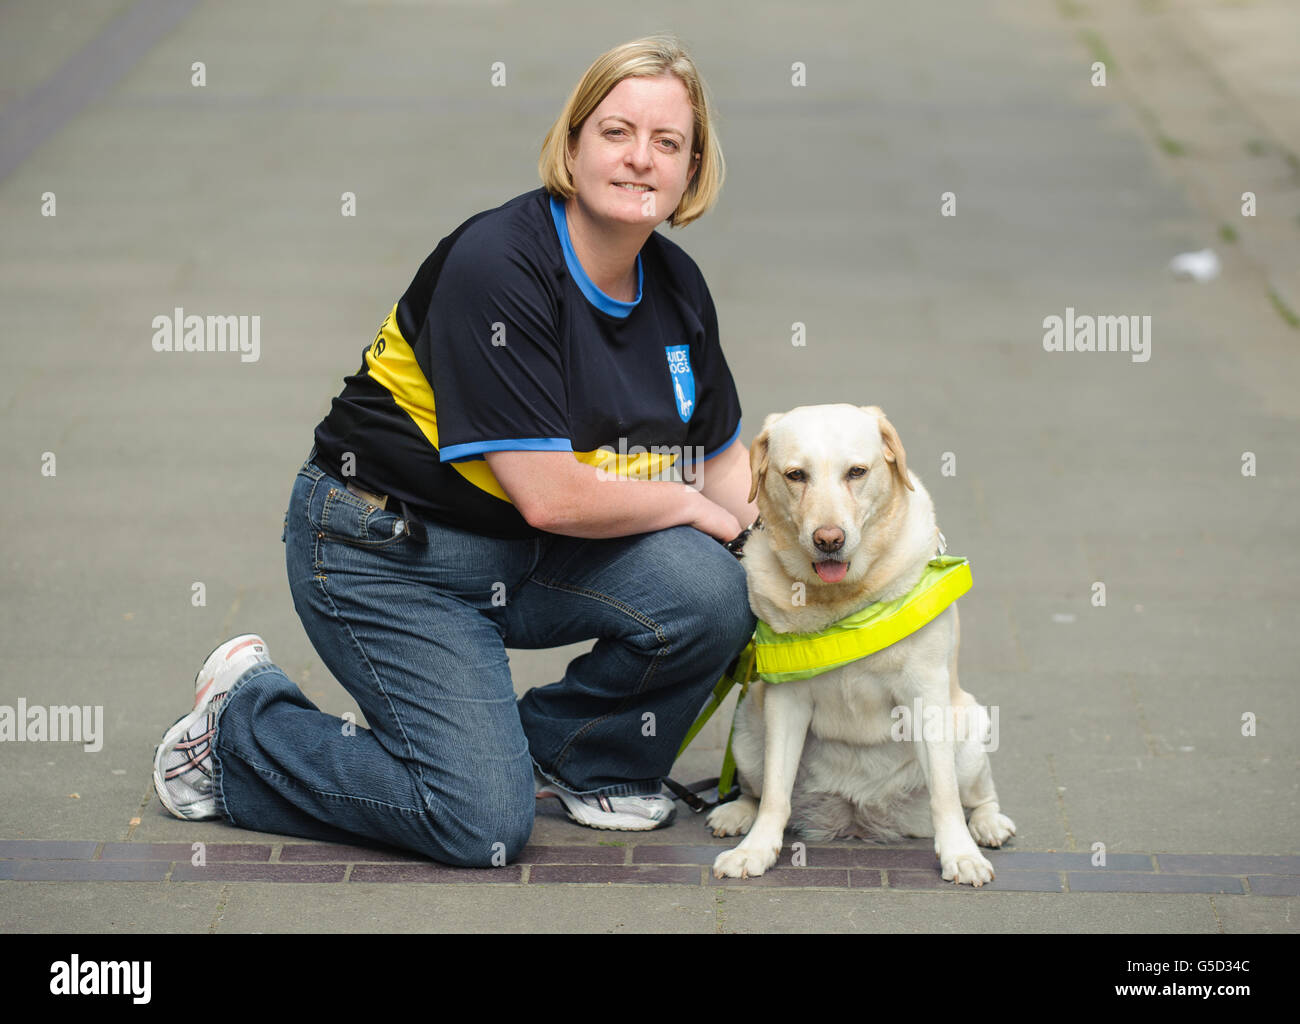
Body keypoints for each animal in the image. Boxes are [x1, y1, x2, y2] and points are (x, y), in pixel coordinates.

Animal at [712, 402, 1013, 883]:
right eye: (795, 475)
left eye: (857, 472)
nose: (828, 539)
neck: (845, 604)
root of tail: (859, 817)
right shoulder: (785, 701)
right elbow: (776, 793)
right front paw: (756, 850)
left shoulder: (926, 691)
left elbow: (945, 794)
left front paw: (959, 855)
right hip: (748, 732)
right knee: (757, 791)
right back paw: (736, 813)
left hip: (970, 732)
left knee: (976, 795)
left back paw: (988, 825)